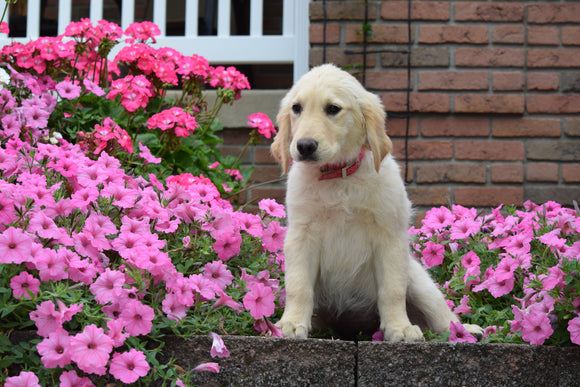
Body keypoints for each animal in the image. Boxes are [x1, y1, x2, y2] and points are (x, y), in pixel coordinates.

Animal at [270, 63, 482, 342]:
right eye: (296, 108)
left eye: (333, 109)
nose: (304, 146)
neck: (340, 177)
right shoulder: (301, 236)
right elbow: (299, 286)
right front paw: (292, 323)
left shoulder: (389, 237)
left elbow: (392, 290)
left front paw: (399, 327)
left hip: (418, 280)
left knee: (441, 314)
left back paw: (462, 330)